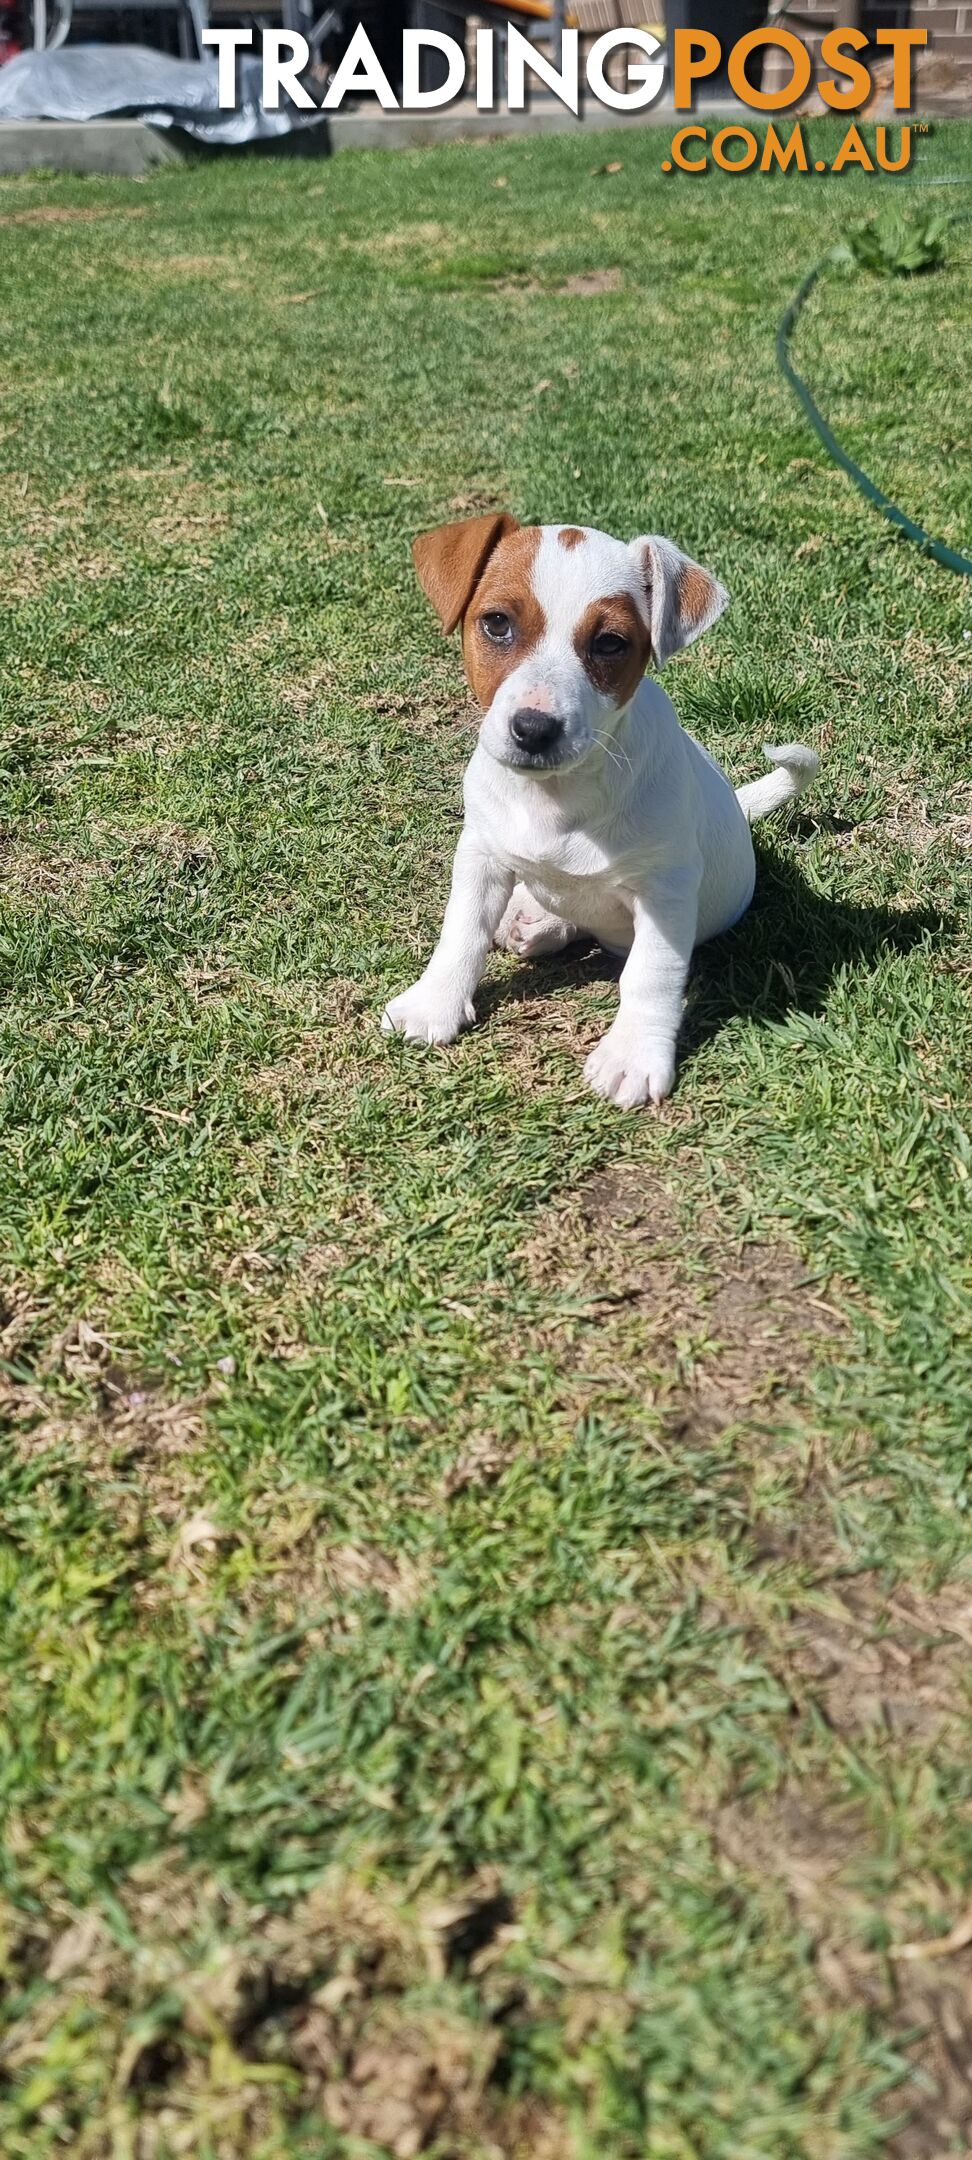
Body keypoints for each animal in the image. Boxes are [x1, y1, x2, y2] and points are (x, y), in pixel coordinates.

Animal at [382, 511, 820, 1105]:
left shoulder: (665, 890)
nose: (533, 729)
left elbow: (650, 974)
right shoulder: (480, 854)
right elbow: (462, 931)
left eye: (610, 643)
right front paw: (434, 1003)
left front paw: (633, 1054)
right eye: (496, 623)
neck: (557, 797)